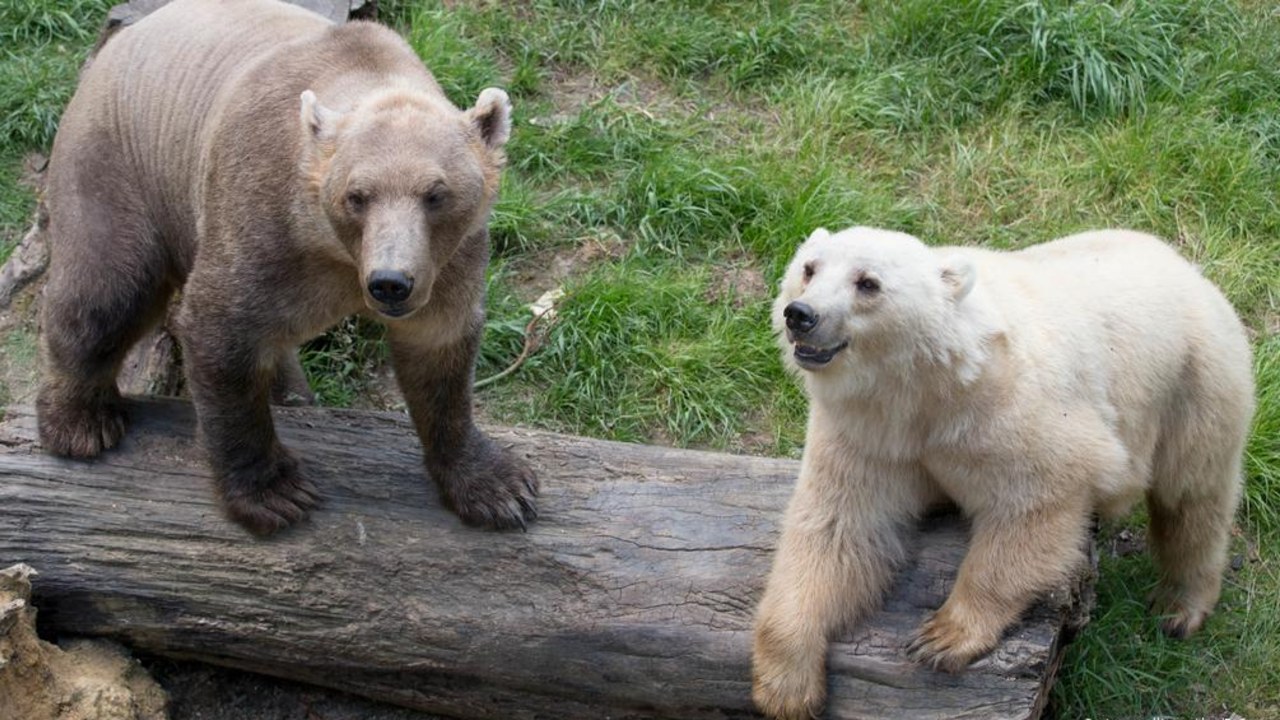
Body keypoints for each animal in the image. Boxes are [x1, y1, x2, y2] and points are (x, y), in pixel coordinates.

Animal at [35, 0, 535, 535]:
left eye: (436, 194)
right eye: (356, 196)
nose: (390, 284)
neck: (332, 251)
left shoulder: (450, 260)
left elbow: (440, 352)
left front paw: (498, 486)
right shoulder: (262, 222)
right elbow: (222, 333)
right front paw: (275, 492)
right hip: (119, 165)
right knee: (106, 289)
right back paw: (79, 421)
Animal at [752, 225, 1254, 717]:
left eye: (868, 283)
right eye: (809, 269)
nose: (801, 314)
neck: (926, 387)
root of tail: (1182, 264)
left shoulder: (1008, 413)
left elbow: (1034, 505)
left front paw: (942, 636)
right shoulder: (869, 436)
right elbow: (838, 529)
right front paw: (786, 686)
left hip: (1193, 381)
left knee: (1193, 497)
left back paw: (1179, 605)